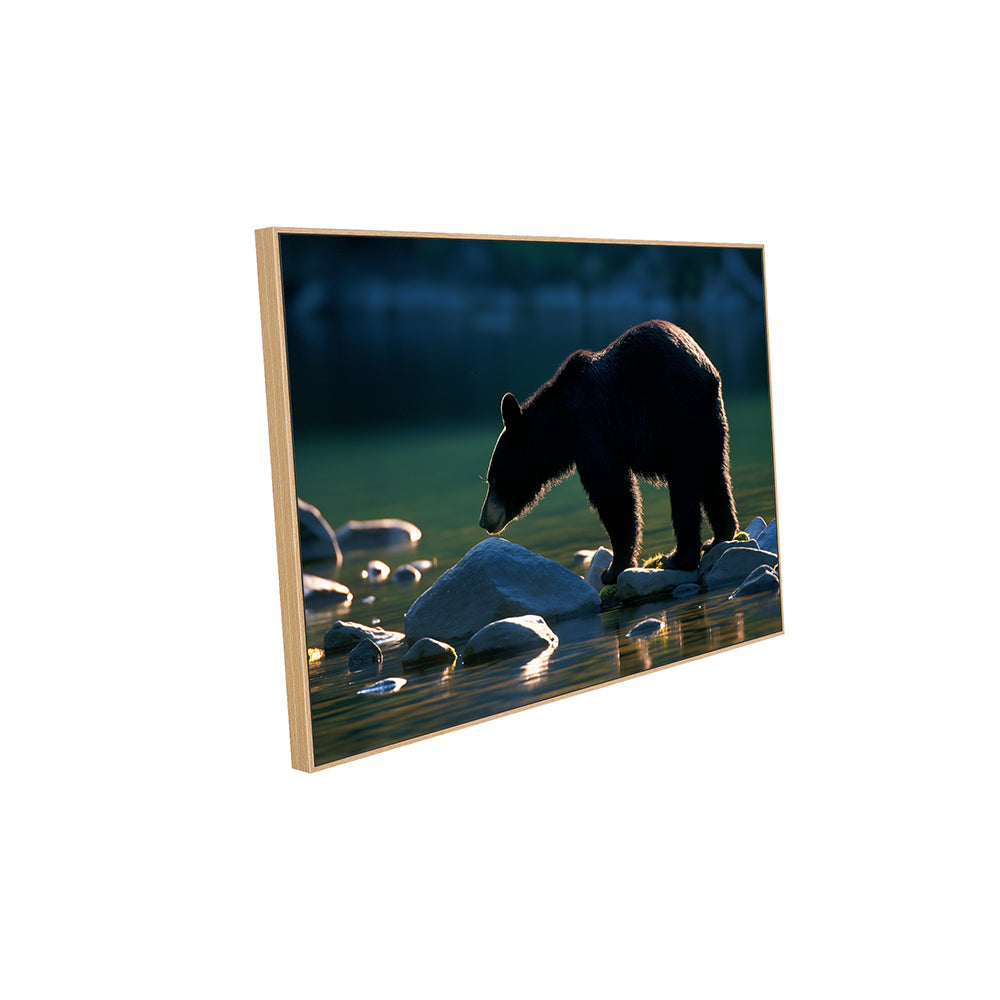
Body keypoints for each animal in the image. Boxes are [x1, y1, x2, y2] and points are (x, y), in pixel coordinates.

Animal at [479, 319, 738, 585]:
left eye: (494, 478)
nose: (484, 520)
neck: (559, 424)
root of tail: (703, 368)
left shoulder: (591, 426)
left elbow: (611, 490)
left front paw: (614, 568)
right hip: (711, 421)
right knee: (716, 475)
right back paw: (718, 538)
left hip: (675, 414)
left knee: (684, 485)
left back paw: (678, 557)